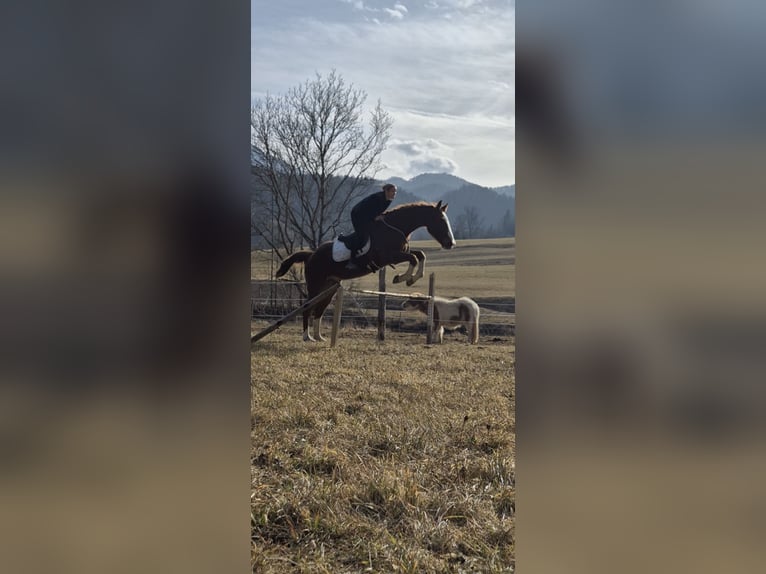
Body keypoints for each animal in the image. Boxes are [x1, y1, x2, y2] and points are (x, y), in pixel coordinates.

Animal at [276, 201, 456, 342]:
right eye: (441, 220)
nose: (451, 243)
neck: (395, 228)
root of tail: (311, 255)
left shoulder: (399, 254)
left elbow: (420, 255)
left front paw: (411, 278)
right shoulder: (391, 257)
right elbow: (414, 258)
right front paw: (403, 278)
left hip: (329, 289)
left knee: (319, 311)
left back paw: (318, 337)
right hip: (315, 286)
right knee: (307, 308)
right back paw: (306, 337)